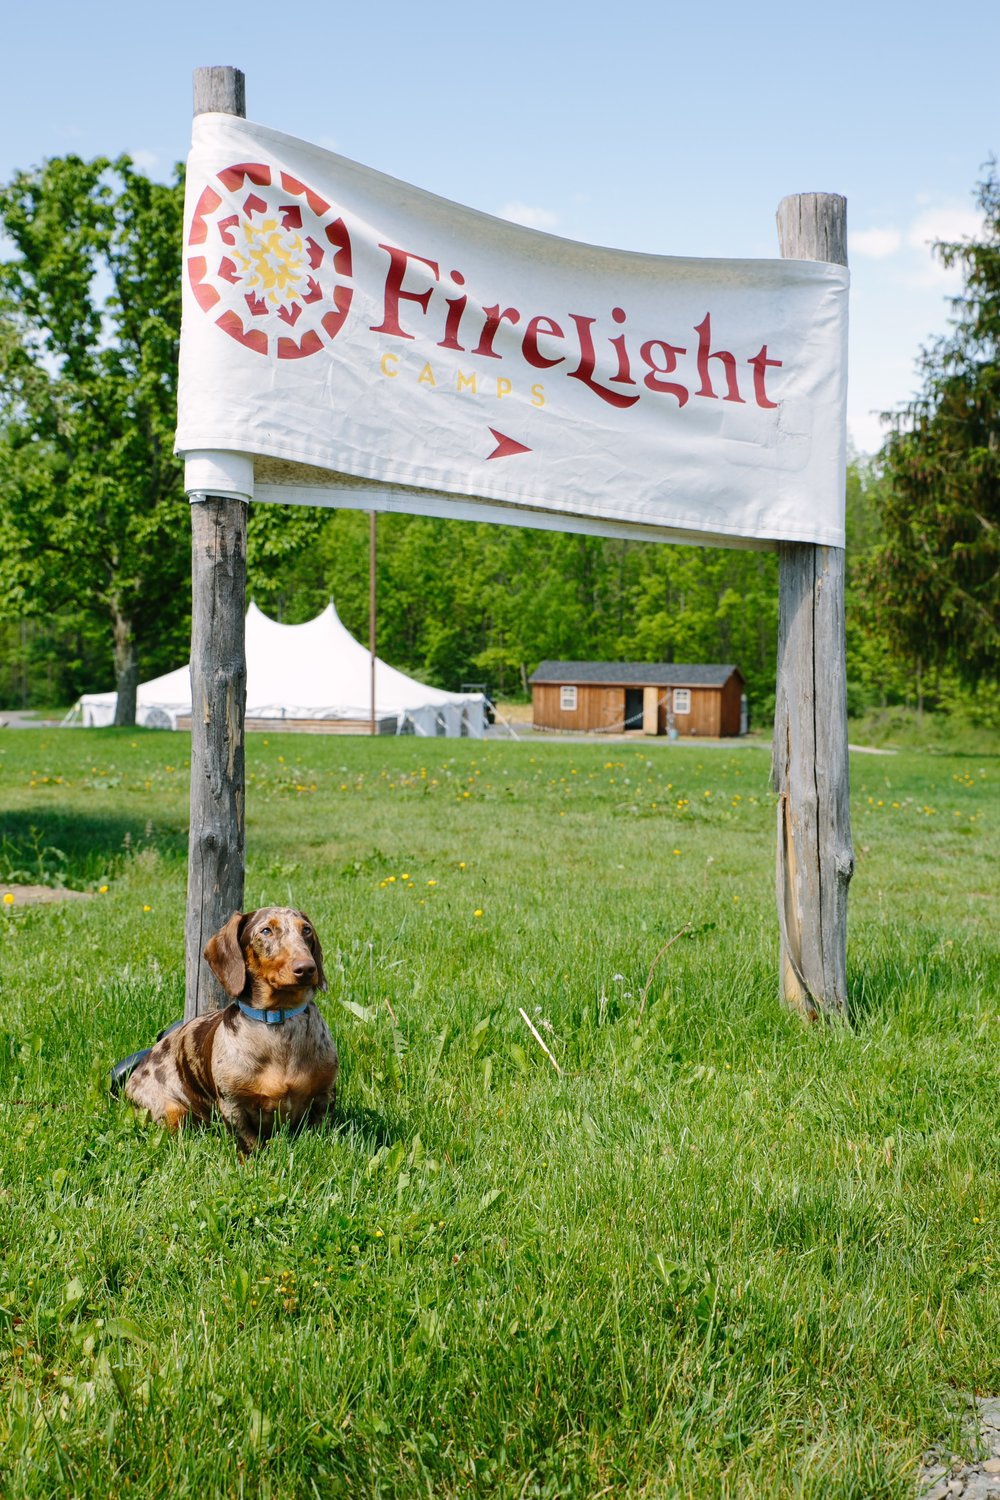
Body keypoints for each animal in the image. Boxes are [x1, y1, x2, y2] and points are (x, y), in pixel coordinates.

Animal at [123, 906, 335, 1152]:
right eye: (266, 930)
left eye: (306, 930)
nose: (307, 968)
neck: (278, 1021)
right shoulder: (234, 1106)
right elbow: (248, 1144)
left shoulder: (325, 1094)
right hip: (171, 1111)